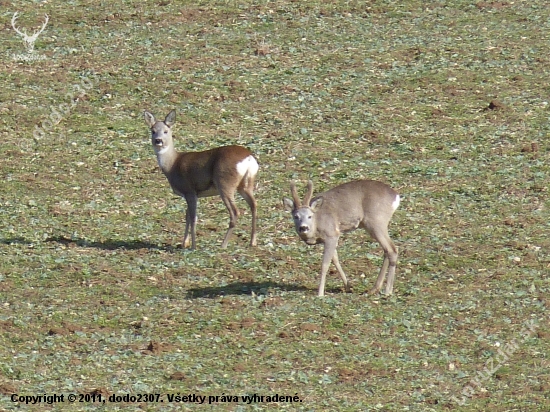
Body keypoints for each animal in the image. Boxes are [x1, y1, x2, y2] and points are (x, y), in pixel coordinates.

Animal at [146, 109, 260, 249]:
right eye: (153, 131)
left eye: (166, 131)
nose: (158, 140)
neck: (172, 164)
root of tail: (249, 159)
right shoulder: (190, 194)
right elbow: (187, 216)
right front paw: (184, 243)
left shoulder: (189, 190)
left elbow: (193, 217)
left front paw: (193, 246)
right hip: (246, 184)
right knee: (254, 204)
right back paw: (253, 242)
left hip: (225, 183)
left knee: (235, 211)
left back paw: (223, 245)